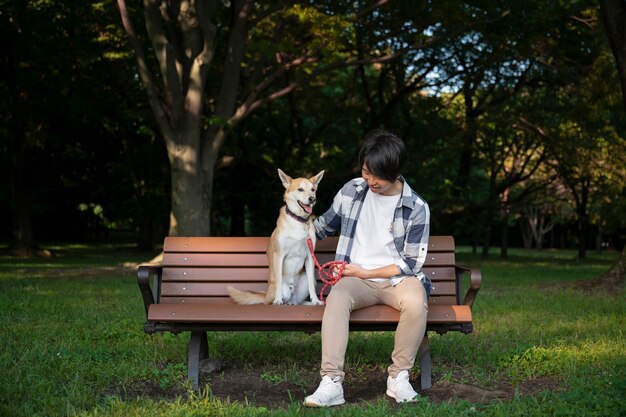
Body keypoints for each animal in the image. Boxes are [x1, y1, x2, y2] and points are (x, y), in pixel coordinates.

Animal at [225, 169, 324, 306]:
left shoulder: (310, 256)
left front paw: (315, 300)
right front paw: (278, 300)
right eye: (300, 189)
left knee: (299, 299)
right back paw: (279, 301)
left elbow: (311, 284)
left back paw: (306, 303)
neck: (298, 220)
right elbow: (278, 281)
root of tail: (265, 295)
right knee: (275, 299)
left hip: (303, 283)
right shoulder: (279, 255)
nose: (312, 199)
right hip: (279, 292)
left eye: (313, 189)